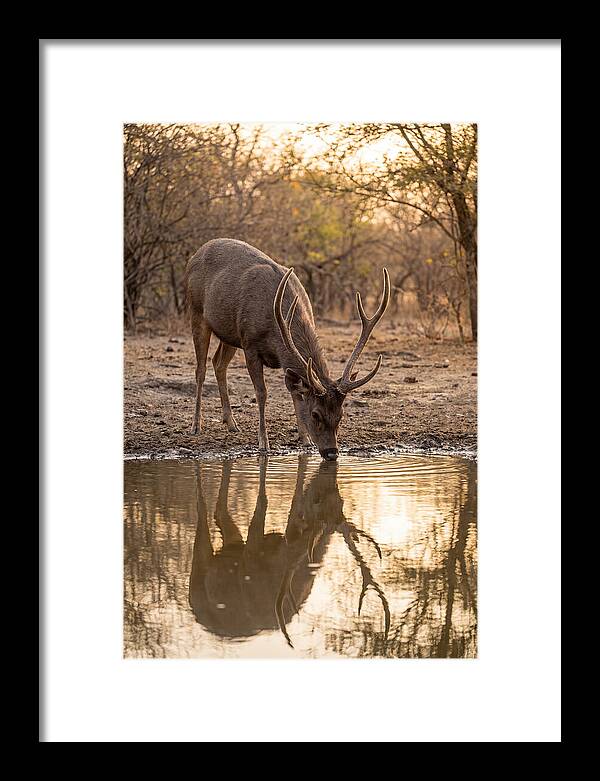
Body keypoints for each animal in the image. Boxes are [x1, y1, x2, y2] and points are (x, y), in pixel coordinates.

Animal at [184, 238, 390, 460]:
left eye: (341, 415)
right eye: (315, 414)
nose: (332, 453)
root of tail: (195, 254)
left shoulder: (280, 357)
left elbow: (295, 393)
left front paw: (305, 439)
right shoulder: (250, 344)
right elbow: (262, 392)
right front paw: (263, 443)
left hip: (229, 333)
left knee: (218, 363)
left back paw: (231, 423)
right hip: (196, 311)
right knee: (201, 369)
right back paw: (196, 425)